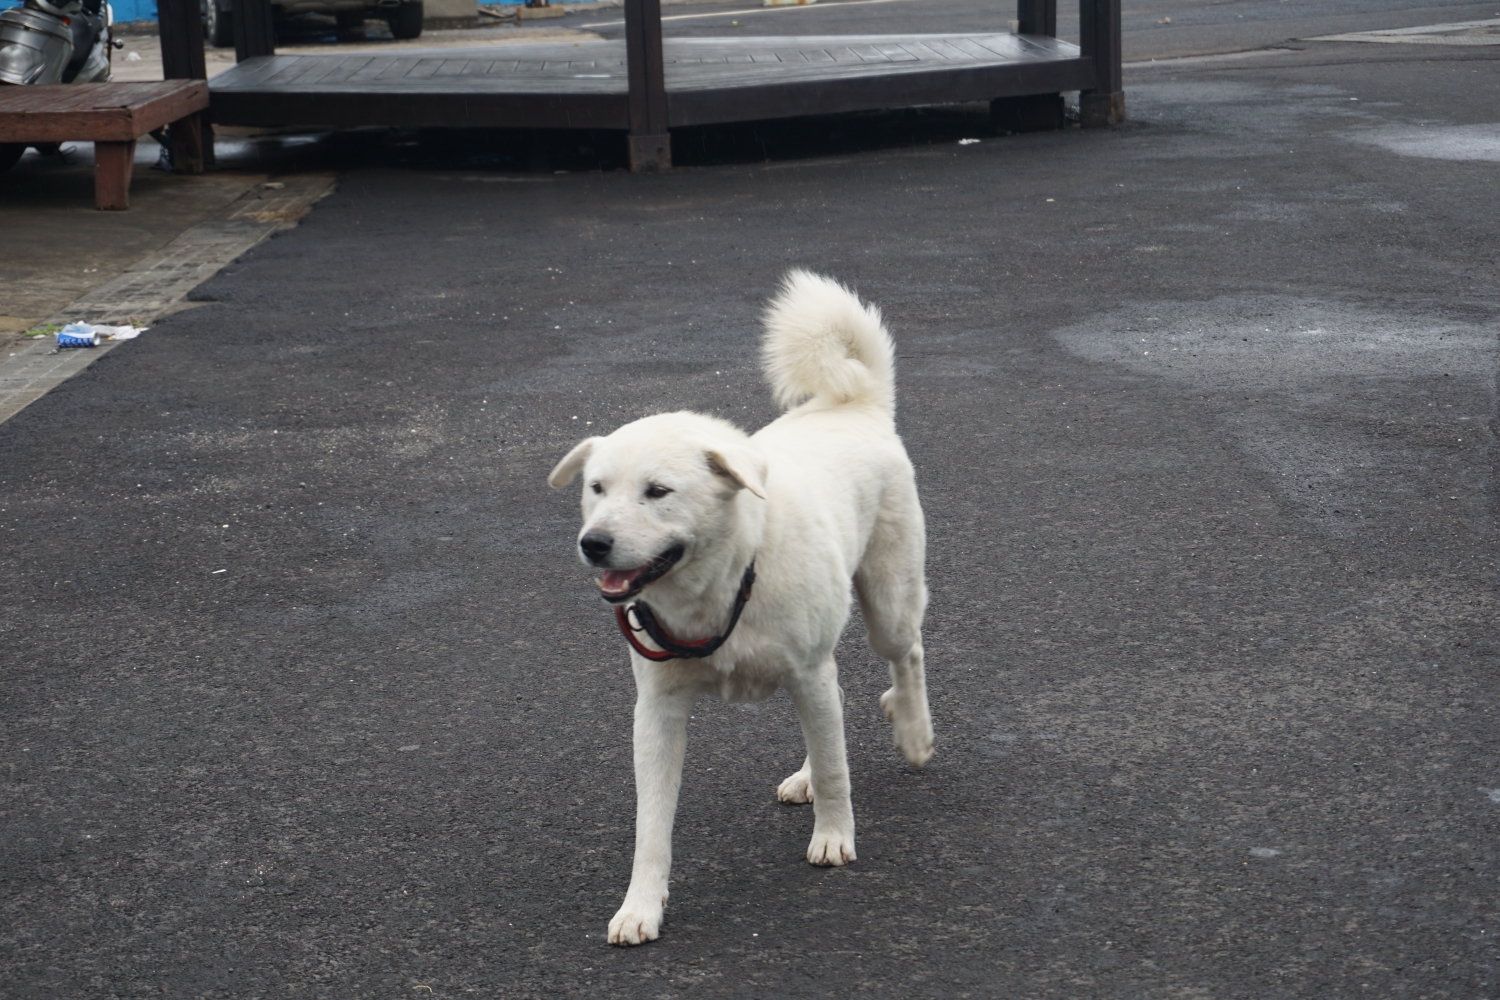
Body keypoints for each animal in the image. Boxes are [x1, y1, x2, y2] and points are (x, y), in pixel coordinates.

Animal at [546, 271, 930, 947]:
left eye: (658, 492)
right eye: (597, 488)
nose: (593, 543)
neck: (725, 580)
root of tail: (854, 404)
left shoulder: (806, 672)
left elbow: (838, 771)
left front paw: (835, 836)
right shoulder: (658, 711)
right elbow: (651, 826)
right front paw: (641, 906)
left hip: (887, 605)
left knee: (905, 655)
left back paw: (913, 730)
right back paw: (813, 769)